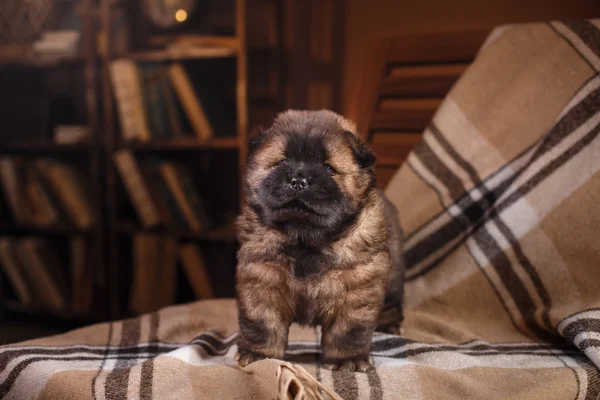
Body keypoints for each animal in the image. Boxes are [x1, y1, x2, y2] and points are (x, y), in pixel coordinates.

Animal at [234, 109, 404, 372]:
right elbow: (262, 322)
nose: (298, 180)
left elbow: (349, 329)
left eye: (328, 167)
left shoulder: (357, 285)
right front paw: (259, 354)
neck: (306, 239)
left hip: (394, 280)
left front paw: (347, 359)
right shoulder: (262, 277)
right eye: (282, 162)